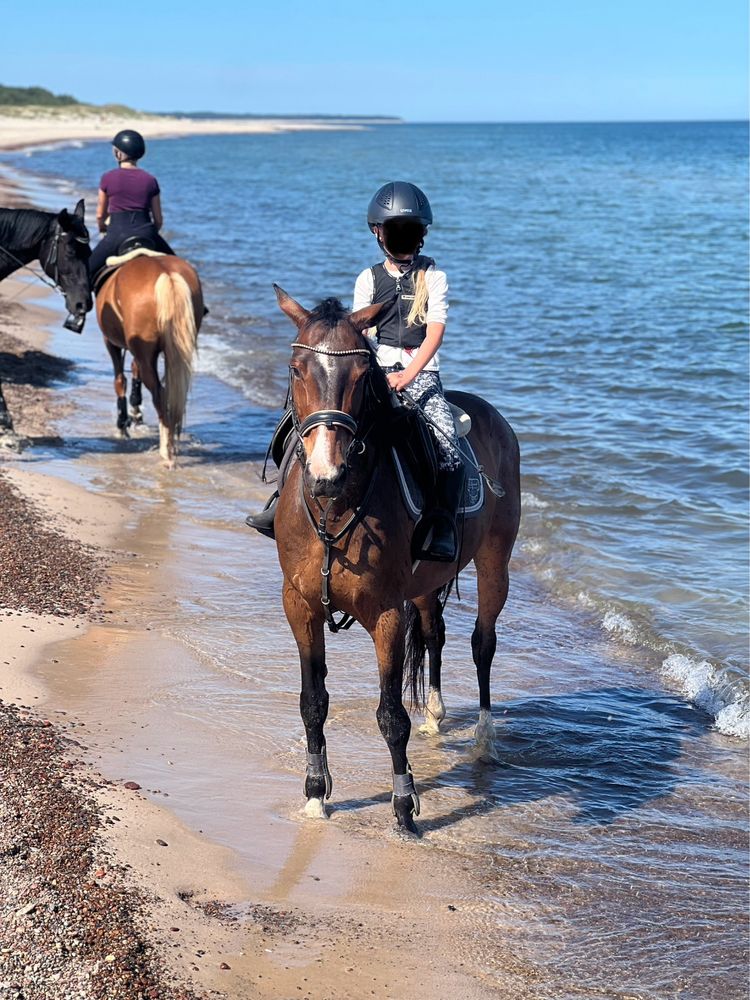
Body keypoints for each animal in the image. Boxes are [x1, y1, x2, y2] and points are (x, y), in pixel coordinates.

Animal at [95, 254, 204, 464]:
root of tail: (166, 274)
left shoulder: (110, 342)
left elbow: (120, 380)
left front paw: (123, 424)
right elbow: (133, 371)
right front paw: (135, 412)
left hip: (144, 353)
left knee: (159, 394)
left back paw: (165, 451)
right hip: (175, 350)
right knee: (172, 394)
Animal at [272, 288, 524, 836]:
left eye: (361, 375)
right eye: (297, 369)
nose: (325, 473)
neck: (337, 505)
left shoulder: (386, 614)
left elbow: (390, 716)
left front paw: (404, 806)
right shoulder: (299, 607)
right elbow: (312, 703)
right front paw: (316, 794)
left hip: (495, 560)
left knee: (482, 643)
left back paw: (485, 738)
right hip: (427, 583)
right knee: (434, 632)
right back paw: (435, 711)